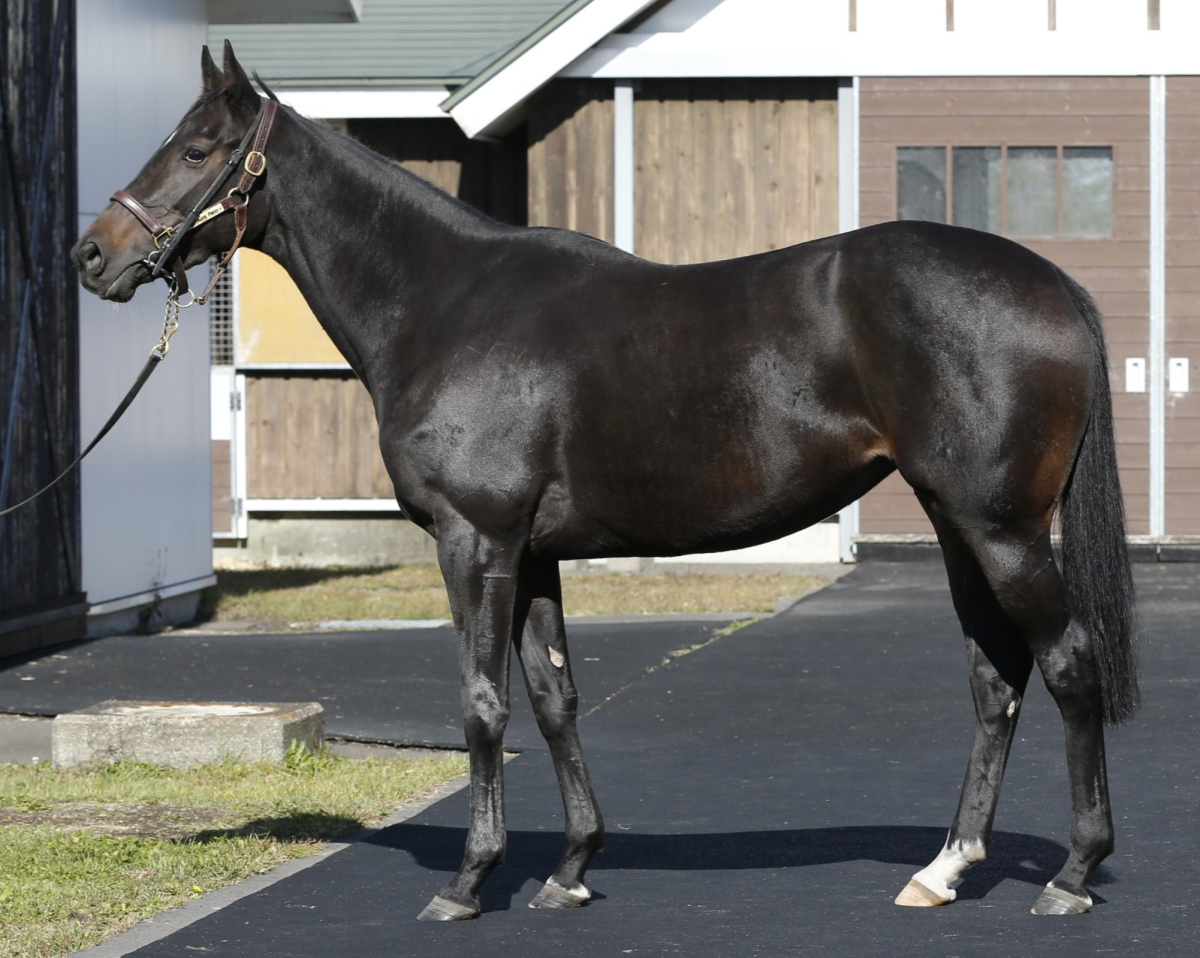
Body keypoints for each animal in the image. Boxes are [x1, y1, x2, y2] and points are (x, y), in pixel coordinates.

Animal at [73, 43, 1138, 921]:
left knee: (1068, 664)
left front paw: (469, 881)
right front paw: (571, 868)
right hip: (960, 524)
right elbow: (554, 698)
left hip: (1001, 529)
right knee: (996, 680)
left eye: (198, 149)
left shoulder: (475, 540)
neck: (444, 304)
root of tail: (1053, 285)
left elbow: (483, 703)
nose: (93, 255)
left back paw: (1074, 874)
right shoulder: (533, 553)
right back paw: (945, 869)